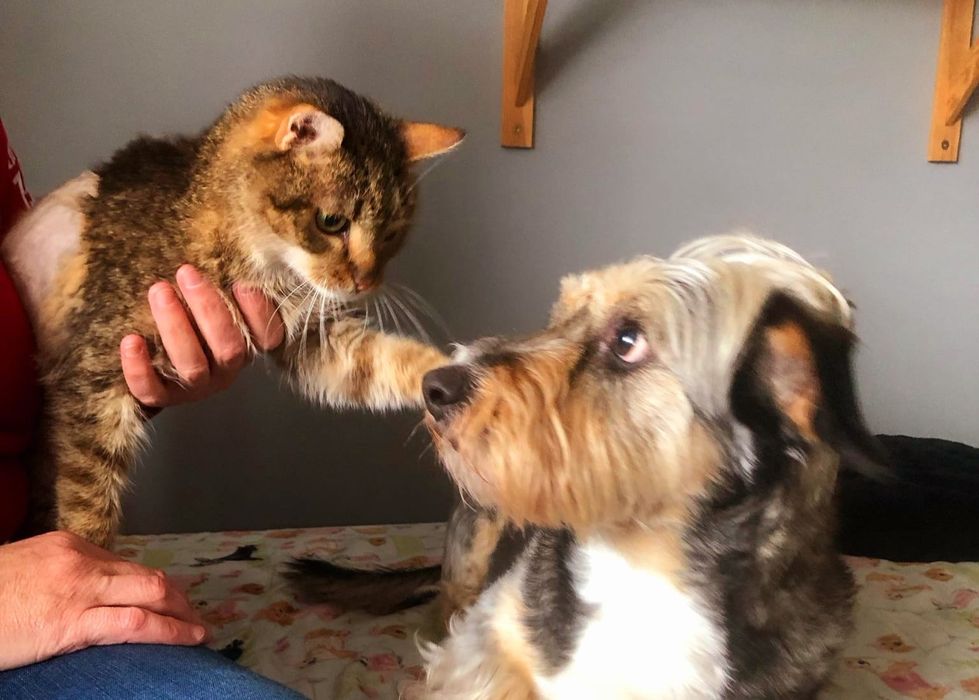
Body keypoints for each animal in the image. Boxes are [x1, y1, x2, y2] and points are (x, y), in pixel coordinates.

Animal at [1, 76, 463, 547]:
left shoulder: (312, 336)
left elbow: (381, 361)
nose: (366, 282)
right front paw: (91, 558)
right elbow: (86, 498)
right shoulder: (93, 375)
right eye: (332, 222)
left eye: (391, 234)